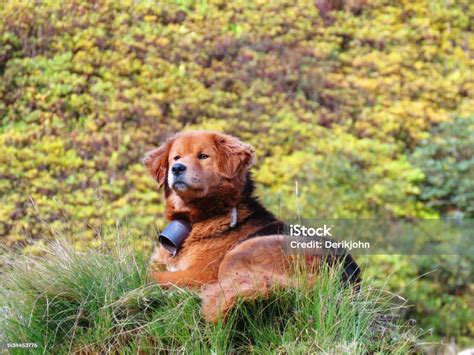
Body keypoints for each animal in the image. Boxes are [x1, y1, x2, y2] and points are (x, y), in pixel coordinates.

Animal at [144, 132, 360, 324]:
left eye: (203, 156)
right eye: (176, 158)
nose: (177, 168)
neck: (196, 219)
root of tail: (342, 278)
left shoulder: (200, 273)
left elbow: (154, 276)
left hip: (241, 252)